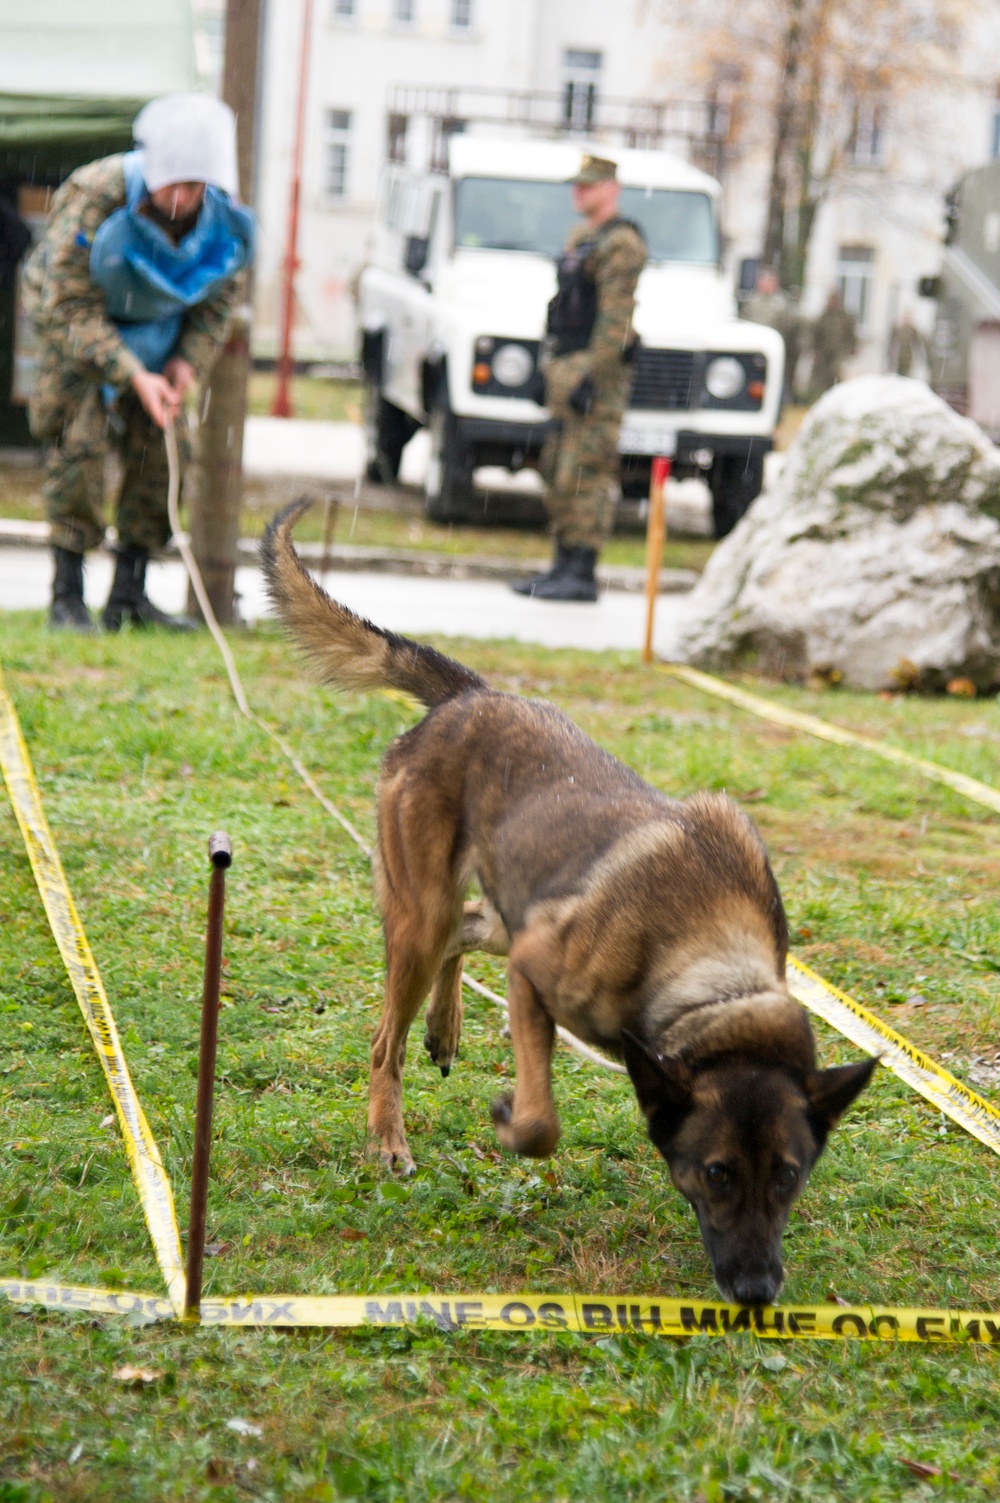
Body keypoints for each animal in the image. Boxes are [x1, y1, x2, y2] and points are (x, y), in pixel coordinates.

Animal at [263, 505, 872, 1304]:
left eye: (789, 1177)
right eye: (717, 1173)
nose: (757, 1290)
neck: (709, 968)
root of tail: (469, 695)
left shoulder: (531, 951)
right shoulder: (533, 977)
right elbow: (540, 1124)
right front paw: (507, 1120)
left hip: (498, 907)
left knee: (460, 938)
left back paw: (443, 1027)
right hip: (423, 913)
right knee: (385, 1037)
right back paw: (389, 1138)